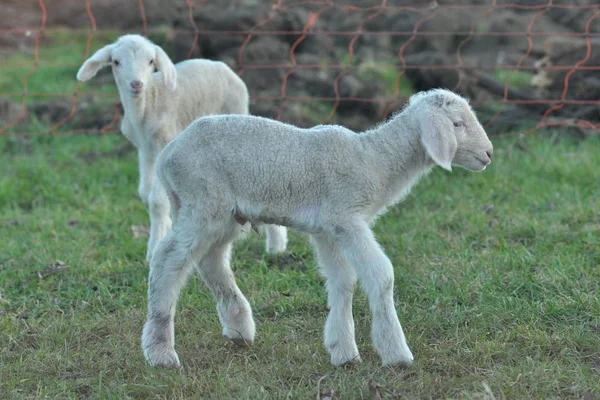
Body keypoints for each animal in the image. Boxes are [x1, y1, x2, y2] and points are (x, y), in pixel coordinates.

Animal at [75, 33, 288, 260]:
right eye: (116, 62)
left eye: (151, 61)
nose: (136, 84)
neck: (148, 104)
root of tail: (220, 64)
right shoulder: (145, 149)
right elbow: (145, 193)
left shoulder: (164, 143)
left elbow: (157, 201)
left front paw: (154, 248)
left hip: (236, 110)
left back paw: (276, 246)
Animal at [141, 88, 492, 368]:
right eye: (457, 124)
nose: (488, 154)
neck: (375, 161)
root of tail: (169, 154)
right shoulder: (345, 218)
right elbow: (381, 275)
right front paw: (395, 352)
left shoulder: (327, 229)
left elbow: (343, 280)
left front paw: (343, 351)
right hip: (202, 201)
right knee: (168, 259)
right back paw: (160, 352)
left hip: (224, 214)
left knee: (210, 261)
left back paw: (238, 329)